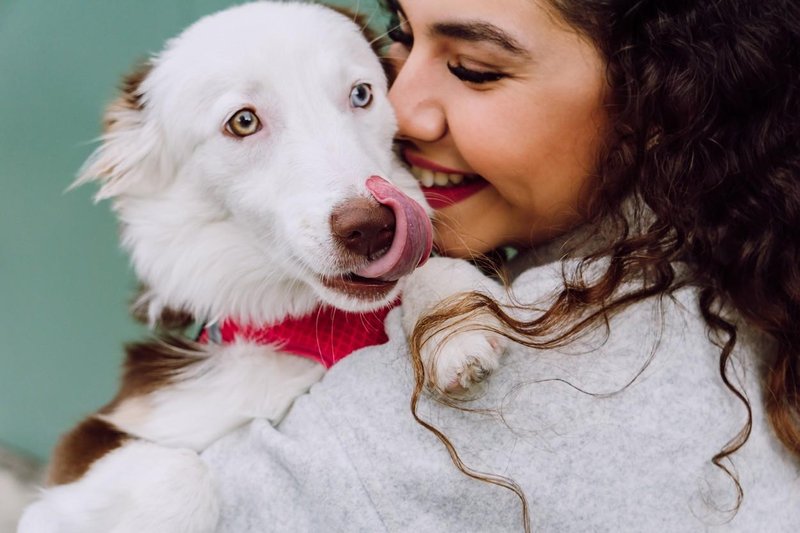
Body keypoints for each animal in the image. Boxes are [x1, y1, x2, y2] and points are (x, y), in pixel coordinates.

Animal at [18, 2, 504, 528]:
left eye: (362, 94)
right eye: (244, 121)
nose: (373, 228)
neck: (308, 327)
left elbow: (430, 269)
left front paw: (454, 323)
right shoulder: (115, 424)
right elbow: (180, 470)